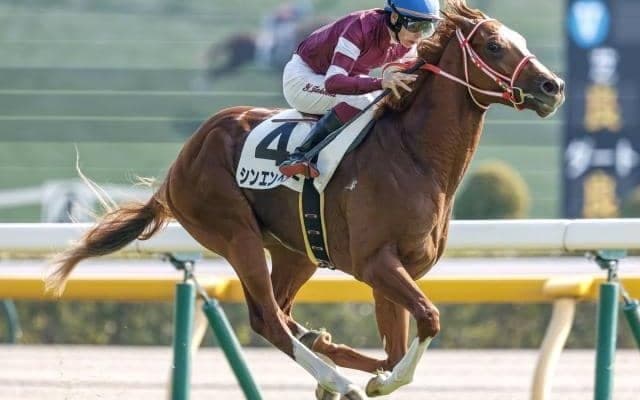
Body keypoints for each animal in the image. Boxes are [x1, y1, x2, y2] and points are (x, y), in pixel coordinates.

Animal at [46, 1, 564, 398]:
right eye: (494, 45)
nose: (552, 87)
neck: (415, 157)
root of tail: (178, 165)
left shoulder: (398, 271)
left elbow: (399, 346)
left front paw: (377, 375)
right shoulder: (376, 263)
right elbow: (430, 320)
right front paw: (377, 381)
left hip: (296, 253)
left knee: (281, 312)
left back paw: (325, 354)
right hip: (235, 235)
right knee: (267, 321)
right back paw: (339, 380)